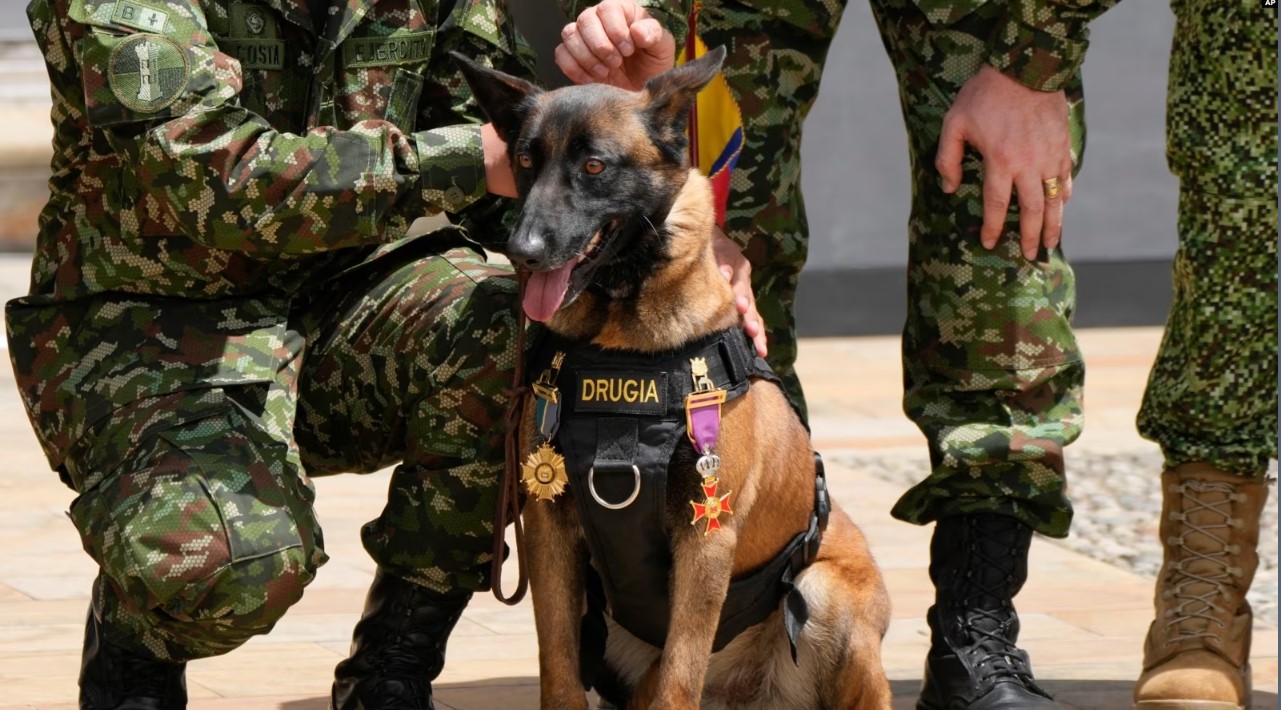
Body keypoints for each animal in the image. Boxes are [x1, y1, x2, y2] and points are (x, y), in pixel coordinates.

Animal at [458, 47, 891, 702]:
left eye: (593, 166)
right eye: (526, 162)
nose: (522, 250)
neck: (622, 344)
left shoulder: (707, 537)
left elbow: (679, 679)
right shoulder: (548, 526)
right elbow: (558, 666)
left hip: (824, 594)